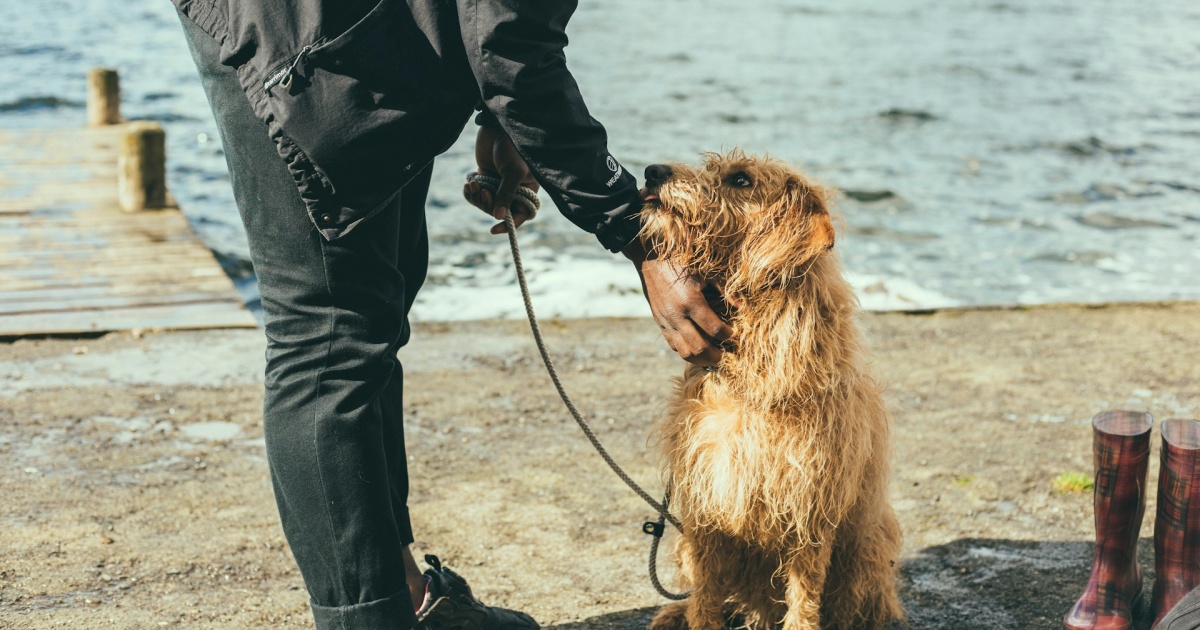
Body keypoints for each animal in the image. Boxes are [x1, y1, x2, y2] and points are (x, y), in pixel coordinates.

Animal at [638, 152, 902, 628]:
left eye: (741, 179)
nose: (652, 171)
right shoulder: (707, 507)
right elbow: (705, 598)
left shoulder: (808, 515)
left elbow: (803, 603)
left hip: (867, 548)